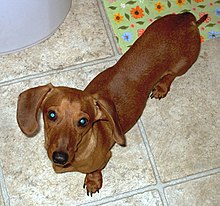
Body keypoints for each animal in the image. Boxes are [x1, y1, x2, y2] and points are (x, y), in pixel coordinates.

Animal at [16, 12, 206, 196]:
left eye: (83, 121)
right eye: (52, 114)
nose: (59, 157)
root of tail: (186, 18)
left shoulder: (104, 158)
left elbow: (94, 171)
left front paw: (93, 182)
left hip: (181, 65)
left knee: (171, 75)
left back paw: (161, 86)